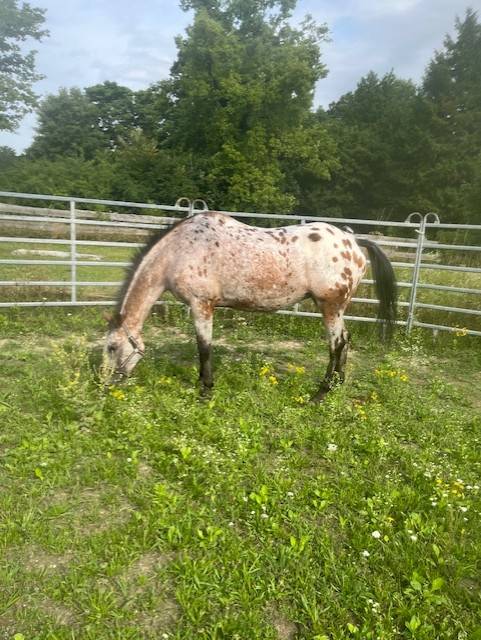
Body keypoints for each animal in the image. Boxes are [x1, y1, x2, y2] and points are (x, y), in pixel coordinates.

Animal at [103, 211, 397, 402]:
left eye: (112, 347)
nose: (103, 385)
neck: (179, 250)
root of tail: (354, 242)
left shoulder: (202, 305)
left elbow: (204, 347)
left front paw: (205, 389)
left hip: (330, 306)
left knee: (337, 344)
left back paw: (321, 394)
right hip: (336, 309)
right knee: (345, 340)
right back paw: (337, 385)